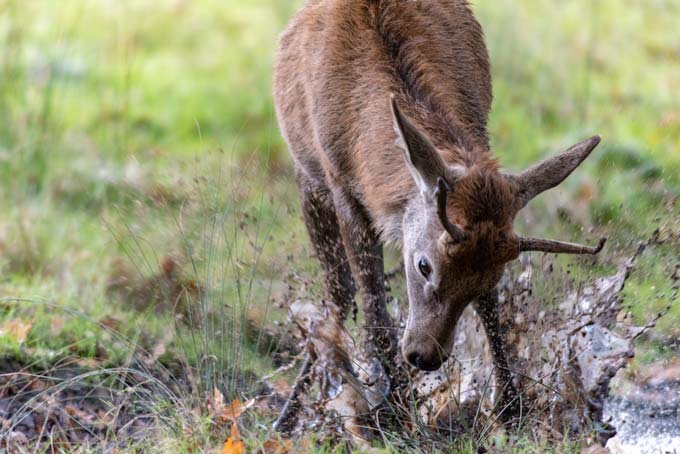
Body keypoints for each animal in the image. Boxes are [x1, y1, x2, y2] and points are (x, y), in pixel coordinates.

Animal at [274, 0, 604, 414]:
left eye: (491, 278)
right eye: (423, 265)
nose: (425, 356)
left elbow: (491, 310)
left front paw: (510, 405)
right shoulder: (340, 186)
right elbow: (371, 303)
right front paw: (395, 410)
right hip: (307, 177)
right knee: (338, 291)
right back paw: (298, 404)